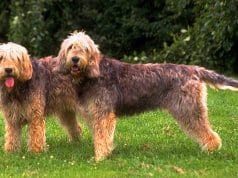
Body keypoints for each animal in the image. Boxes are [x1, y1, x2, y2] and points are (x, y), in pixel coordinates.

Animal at [57, 31, 238, 161]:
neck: (91, 74)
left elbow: (102, 136)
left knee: (208, 132)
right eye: (71, 47)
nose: (75, 59)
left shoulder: (103, 115)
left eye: (85, 48)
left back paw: (211, 149)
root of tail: (194, 69)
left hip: (188, 110)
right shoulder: (95, 114)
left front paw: (100, 157)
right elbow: (100, 136)